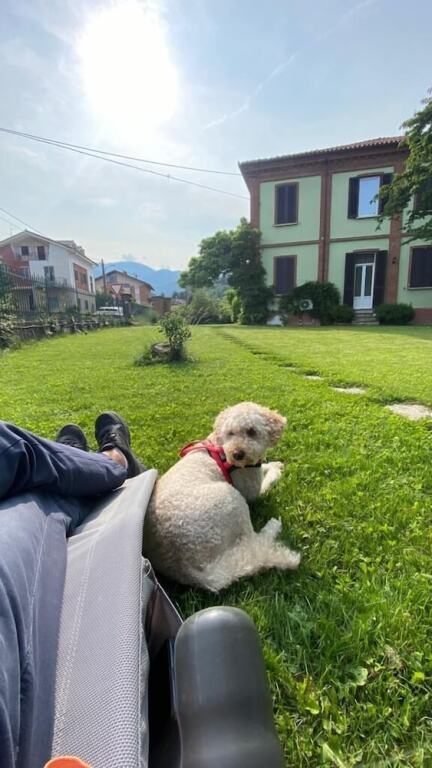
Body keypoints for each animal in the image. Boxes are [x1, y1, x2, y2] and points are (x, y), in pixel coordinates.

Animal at [143, 402, 300, 591]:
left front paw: (274, 463)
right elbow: (267, 480)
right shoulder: (250, 489)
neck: (220, 446)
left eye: (251, 431)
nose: (237, 454)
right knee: (254, 540)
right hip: (231, 499)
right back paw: (272, 527)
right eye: (230, 433)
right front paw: (275, 470)